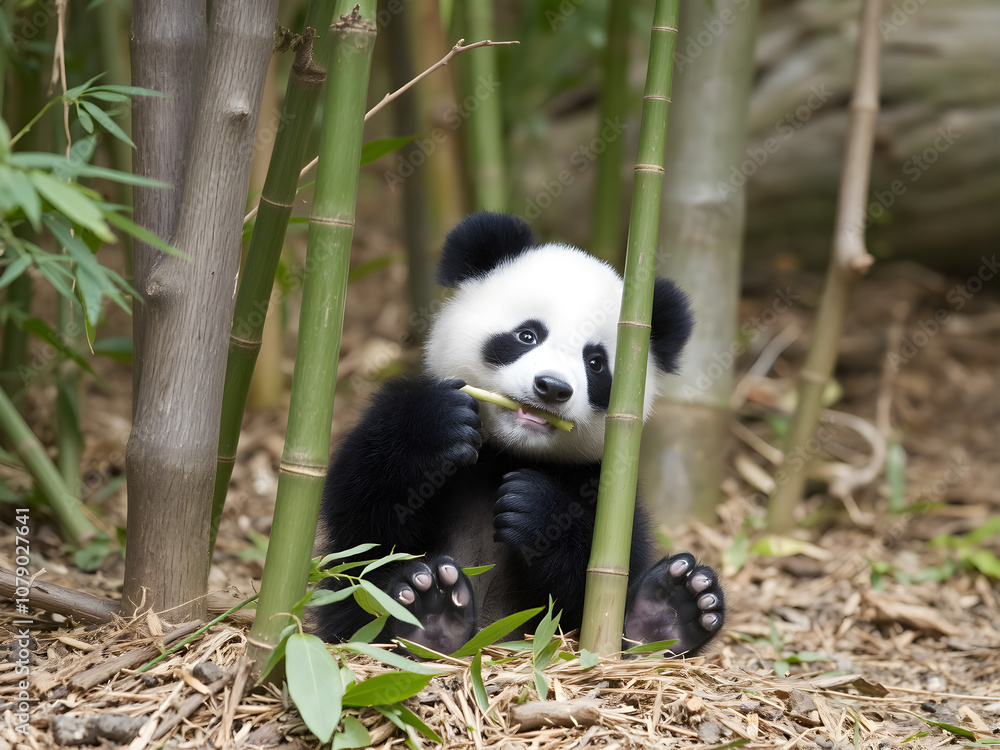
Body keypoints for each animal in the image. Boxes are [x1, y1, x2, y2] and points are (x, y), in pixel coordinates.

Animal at [315, 212, 725, 656]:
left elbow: (598, 578)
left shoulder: (606, 485)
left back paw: (670, 611)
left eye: (596, 363)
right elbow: (366, 527)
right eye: (527, 335)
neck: (508, 452)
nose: (552, 387)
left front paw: (531, 506)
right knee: (364, 603)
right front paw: (439, 426)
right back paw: (428, 613)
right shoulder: (392, 419)